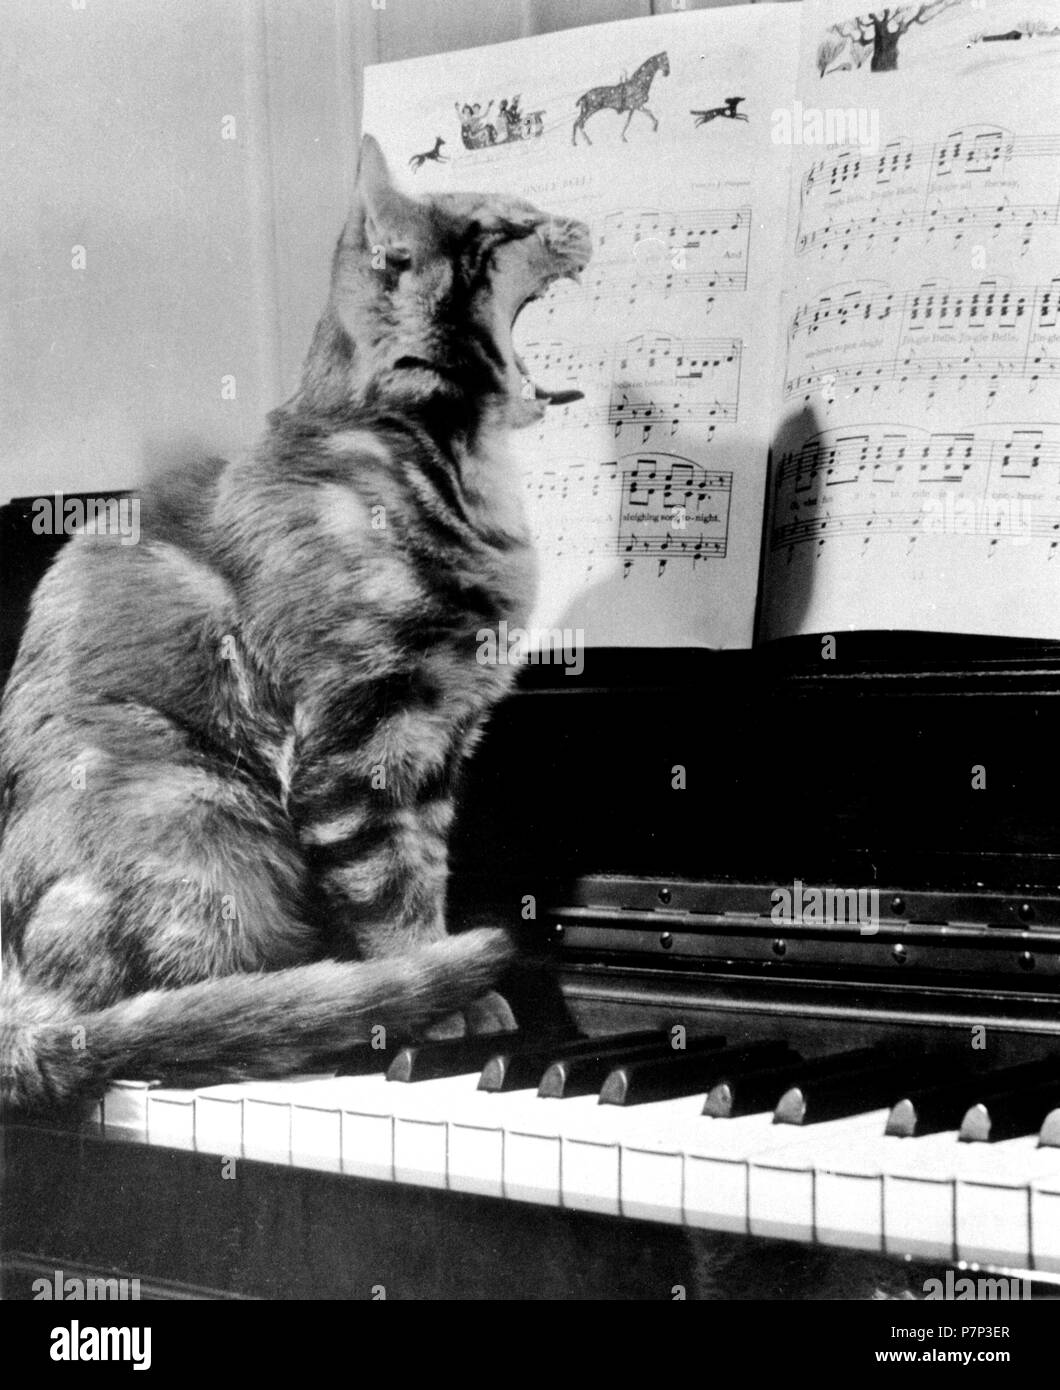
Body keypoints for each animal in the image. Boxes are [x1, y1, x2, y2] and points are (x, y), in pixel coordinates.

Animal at [0, 130, 591, 1106]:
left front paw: (449, 984)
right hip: (197, 809)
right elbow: (389, 894)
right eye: (508, 224)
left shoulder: (437, 747)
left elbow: (426, 875)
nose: (582, 221)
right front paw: (431, 997)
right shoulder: (358, 745)